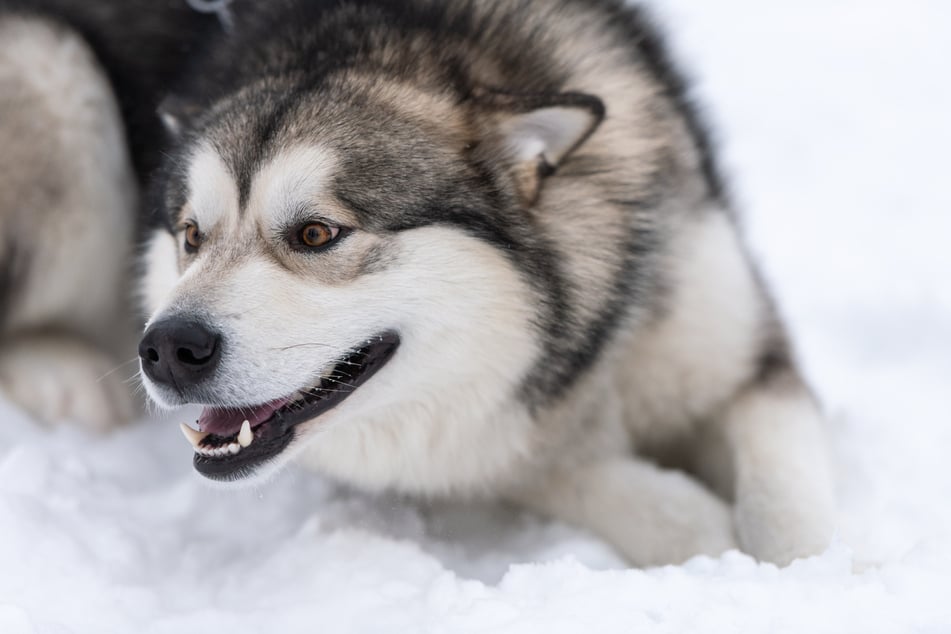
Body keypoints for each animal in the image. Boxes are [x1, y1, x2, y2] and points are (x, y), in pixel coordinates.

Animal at [0, 0, 832, 564]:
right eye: (191, 237)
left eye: (315, 233)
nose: (169, 349)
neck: (579, 347)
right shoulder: (475, 445)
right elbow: (565, 475)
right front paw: (691, 522)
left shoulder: (734, 347)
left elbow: (786, 502)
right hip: (48, 68)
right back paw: (59, 371)